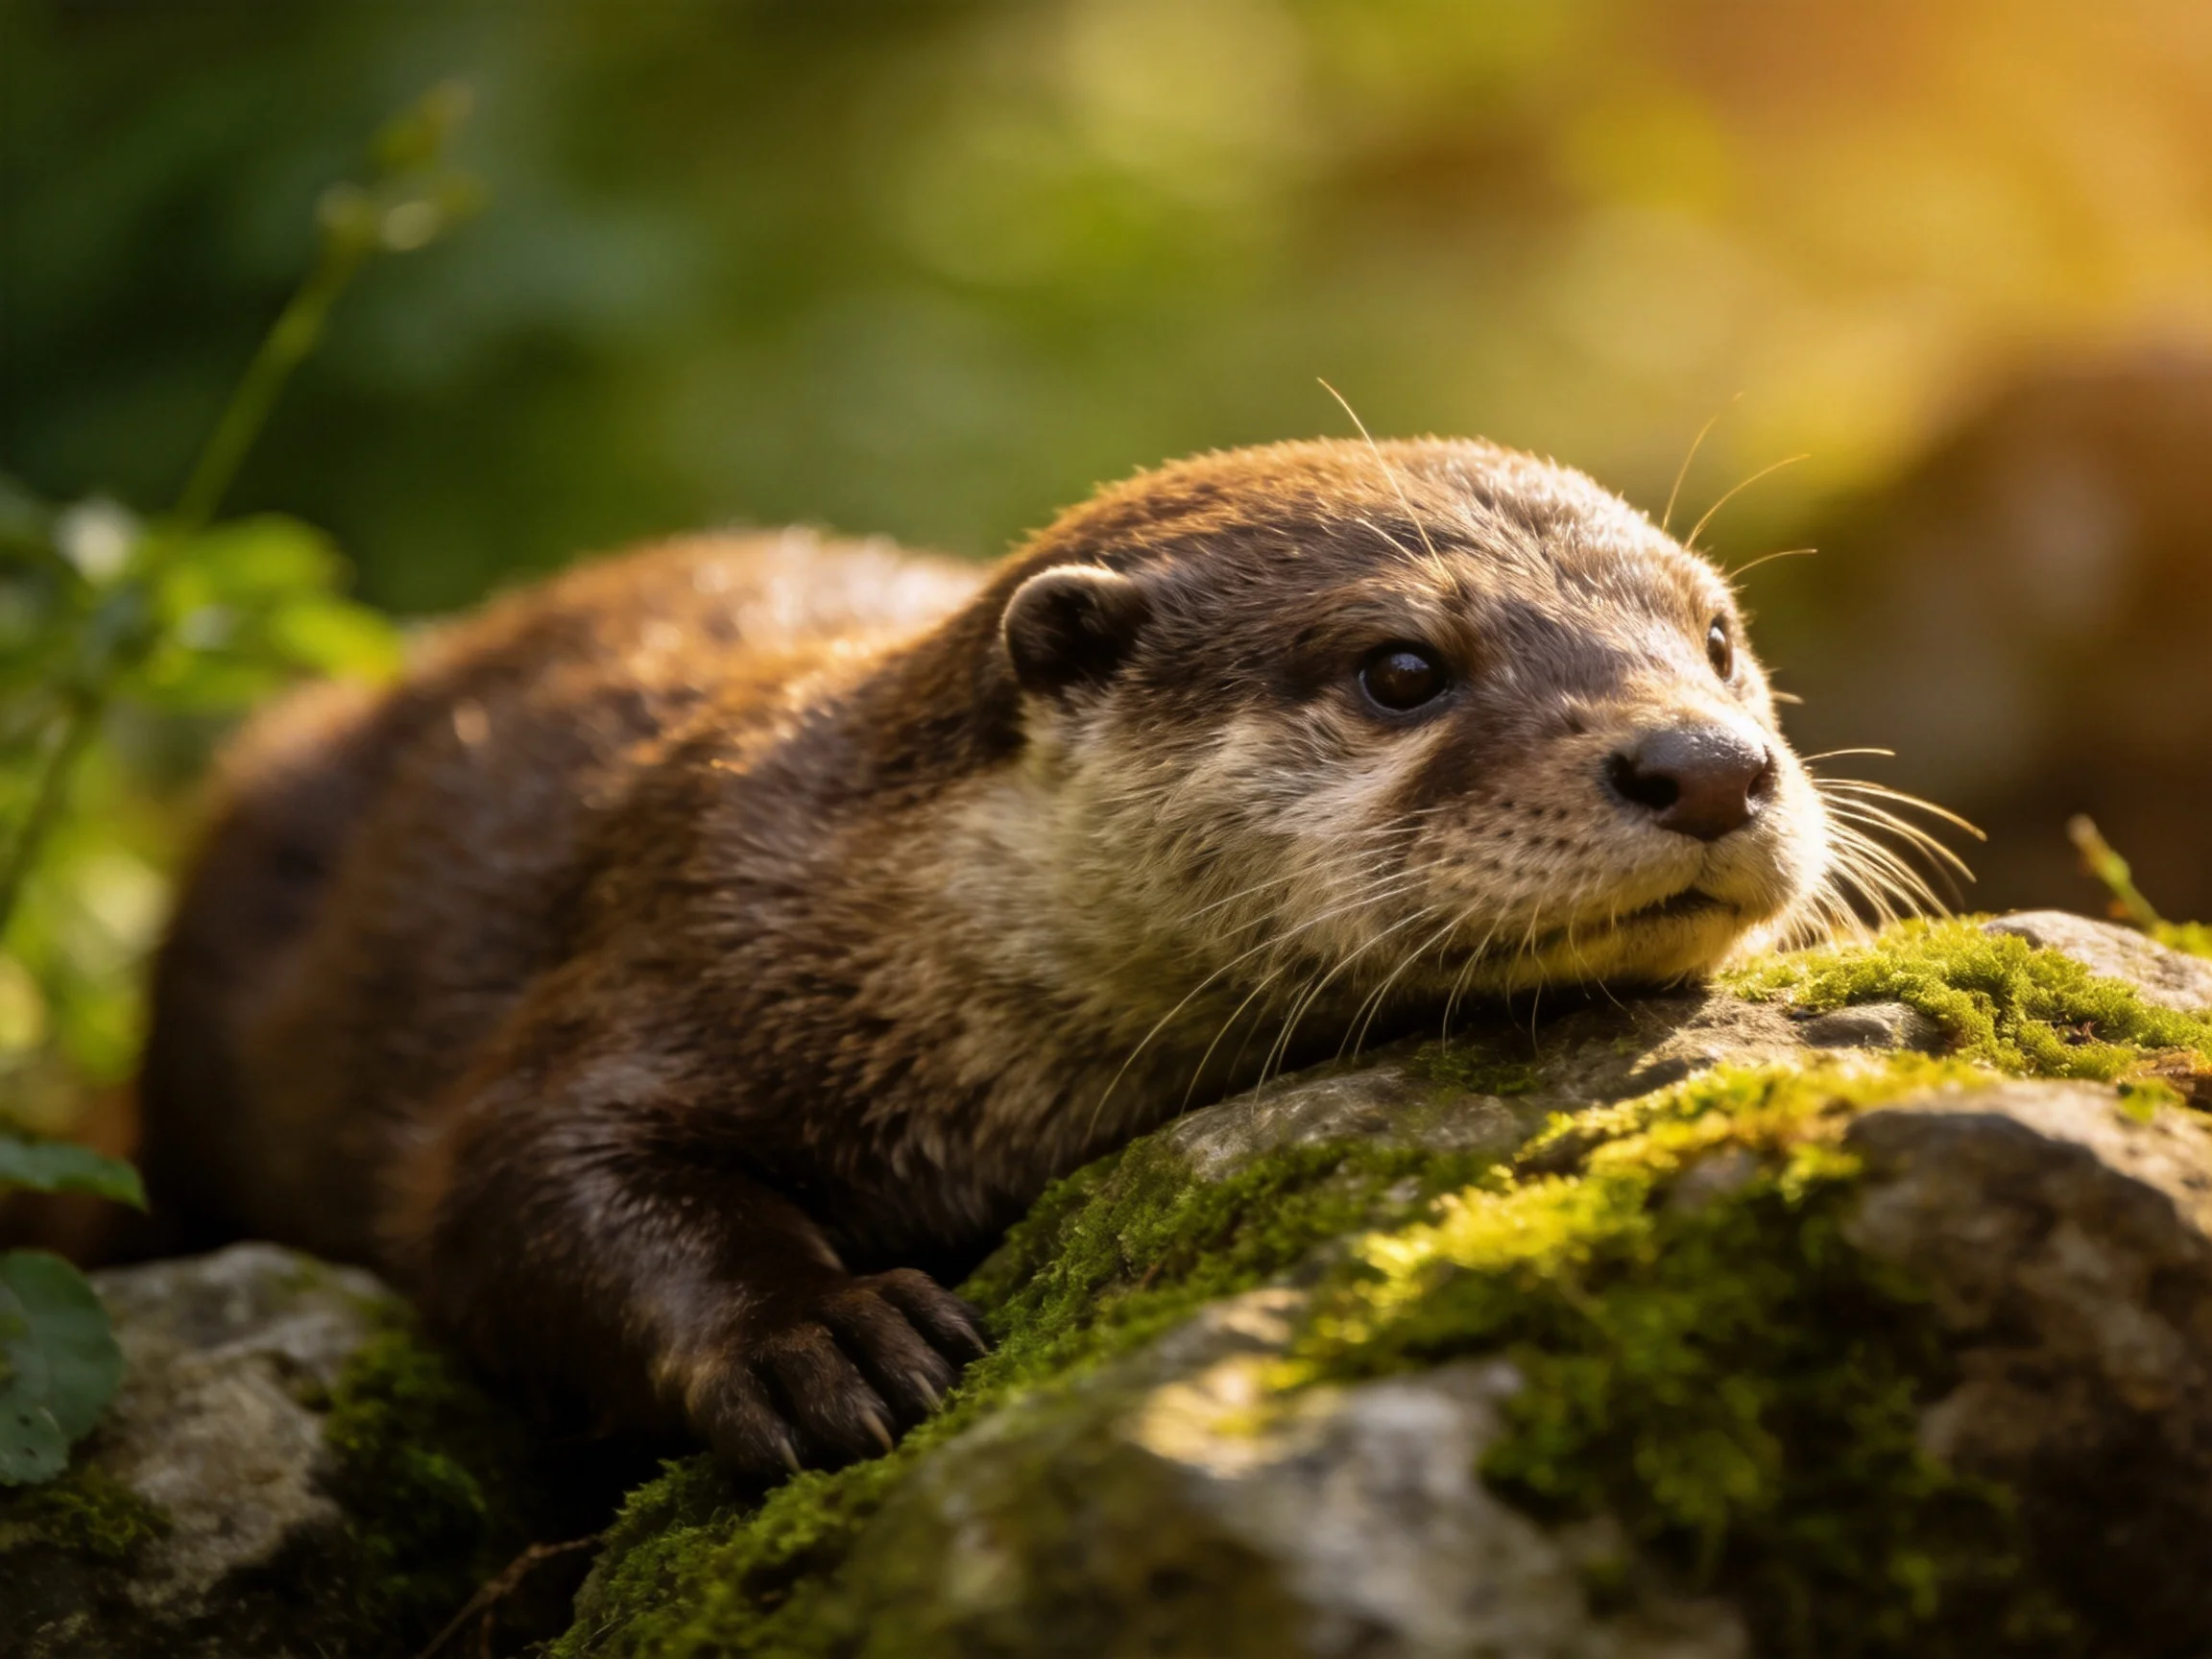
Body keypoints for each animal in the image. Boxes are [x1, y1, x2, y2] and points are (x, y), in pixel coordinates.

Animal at [137, 438, 1834, 1477]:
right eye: (1403, 669)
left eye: (1718, 639)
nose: (1707, 764)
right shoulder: (677, 937)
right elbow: (508, 1179)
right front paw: (818, 1334)